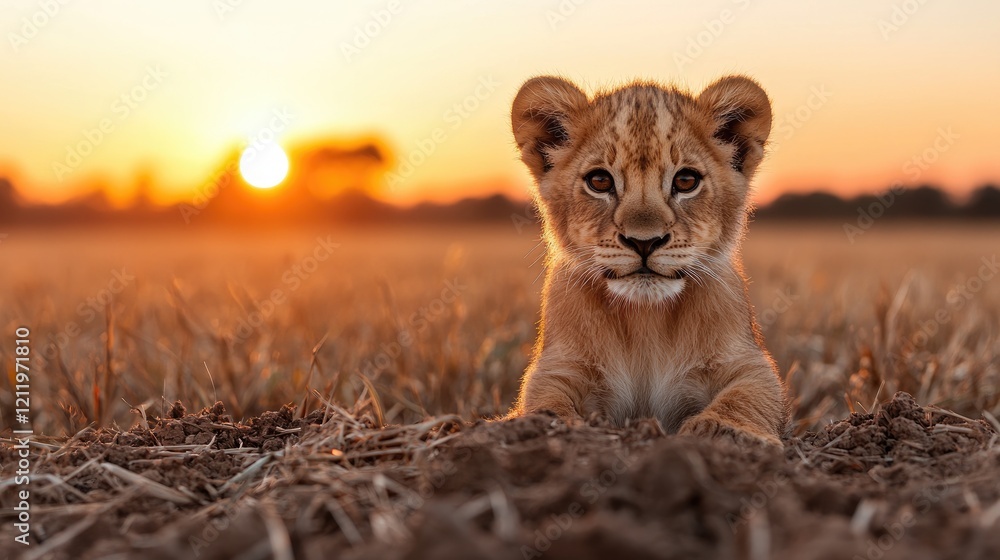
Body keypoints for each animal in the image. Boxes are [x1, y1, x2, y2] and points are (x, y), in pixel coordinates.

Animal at [509, 75, 788, 445]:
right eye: (600, 181)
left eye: (686, 180)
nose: (645, 241)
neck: (646, 318)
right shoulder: (558, 367)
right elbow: (545, 401)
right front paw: (549, 429)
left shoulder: (748, 362)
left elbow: (749, 395)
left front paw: (725, 432)